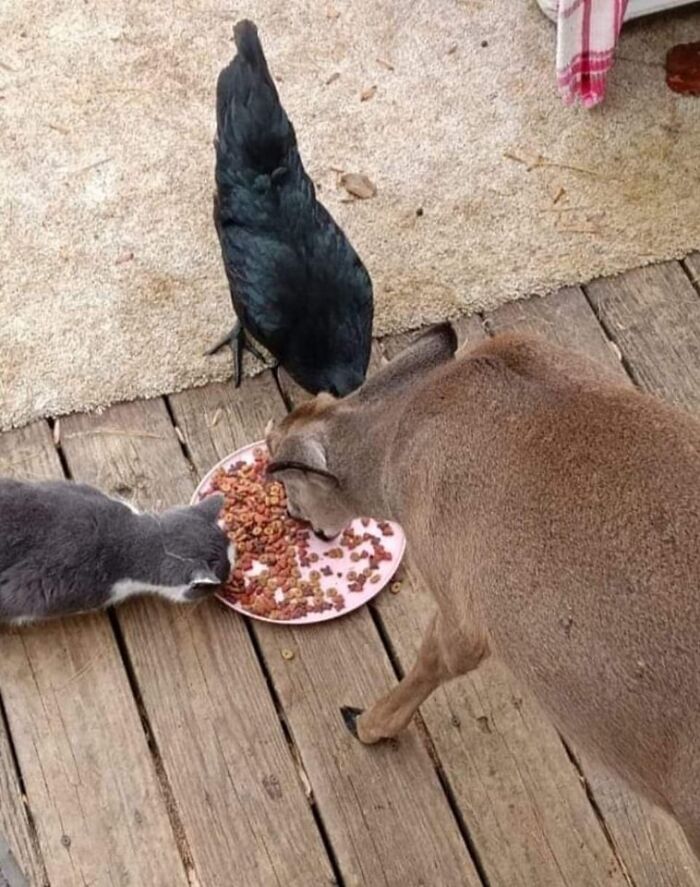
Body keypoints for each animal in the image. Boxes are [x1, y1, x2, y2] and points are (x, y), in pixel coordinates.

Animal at [265, 324, 700, 858]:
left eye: (287, 486)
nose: (296, 519)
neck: (395, 451)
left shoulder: (460, 599)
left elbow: (433, 662)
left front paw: (367, 723)